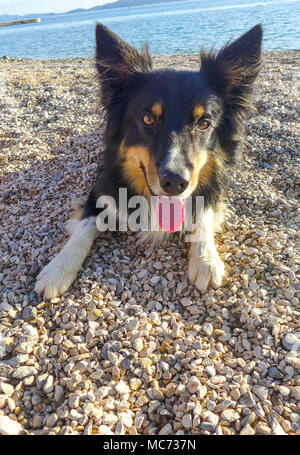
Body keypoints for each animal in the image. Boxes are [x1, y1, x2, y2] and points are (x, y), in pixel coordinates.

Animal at [34, 23, 262, 302]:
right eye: (148, 119)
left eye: (203, 123)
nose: (175, 183)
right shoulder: (101, 189)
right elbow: (84, 228)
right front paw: (57, 269)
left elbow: (202, 213)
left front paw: (206, 261)